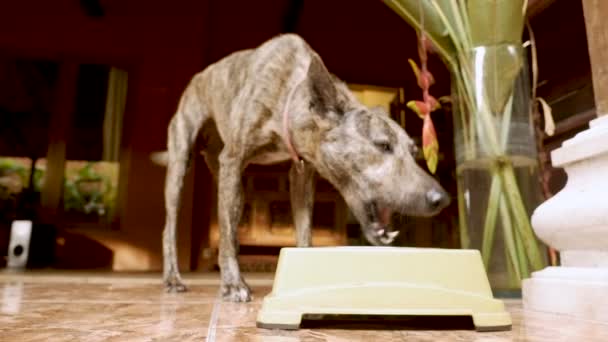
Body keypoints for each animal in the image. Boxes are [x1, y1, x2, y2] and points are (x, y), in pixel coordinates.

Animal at [162, 34, 452, 302]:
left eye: (413, 152)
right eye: (382, 145)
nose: (442, 199)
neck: (290, 96)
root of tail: (198, 77)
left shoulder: (301, 176)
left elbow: (303, 230)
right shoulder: (234, 159)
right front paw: (233, 284)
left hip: (227, 179)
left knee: (228, 226)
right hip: (182, 163)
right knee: (172, 228)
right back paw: (173, 279)